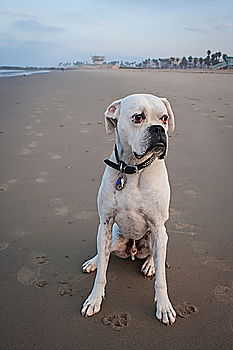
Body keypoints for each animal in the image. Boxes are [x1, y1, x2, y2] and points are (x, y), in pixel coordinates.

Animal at [81, 93, 176, 326]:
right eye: (138, 117)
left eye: (164, 118)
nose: (158, 129)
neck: (133, 168)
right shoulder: (106, 223)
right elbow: (102, 273)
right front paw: (94, 298)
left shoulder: (158, 226)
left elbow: (161, 279)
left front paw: (164, 306)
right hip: (114, 236)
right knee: (104, 253)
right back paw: (94, 261)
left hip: (157, 236)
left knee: (157, 255)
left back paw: (150, 265)